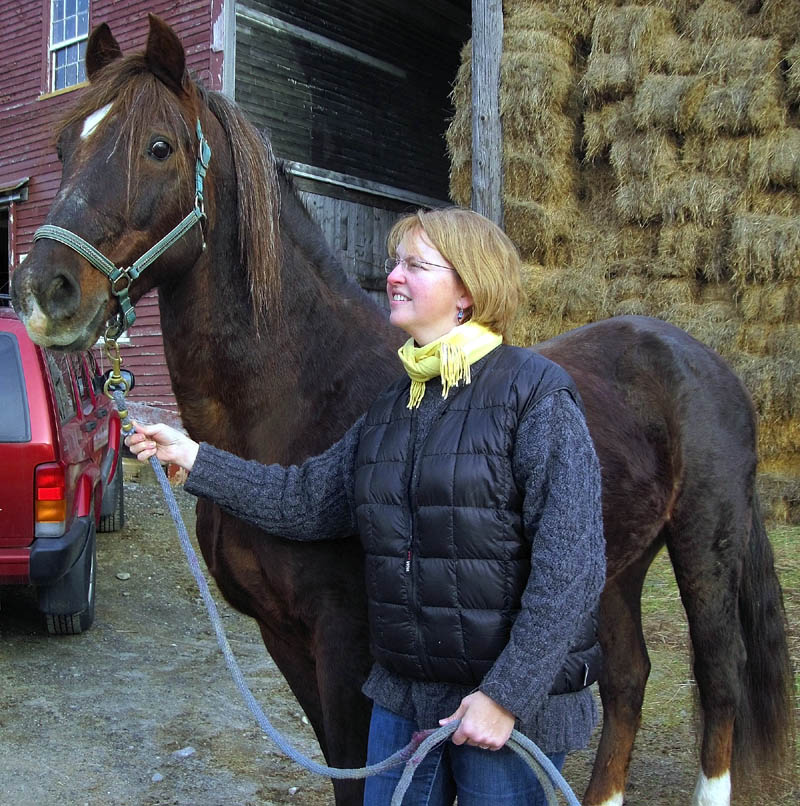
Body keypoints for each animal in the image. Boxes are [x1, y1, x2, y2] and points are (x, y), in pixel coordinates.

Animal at [12, 17, 792, 806]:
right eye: (64, 145)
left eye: (158, 147)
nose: (44, 291)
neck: (298, 401)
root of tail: (707, 363)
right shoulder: (283, 639)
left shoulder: (348, 646)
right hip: (611, 566)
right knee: (629, 676)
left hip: (704, 547)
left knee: (719, 682)